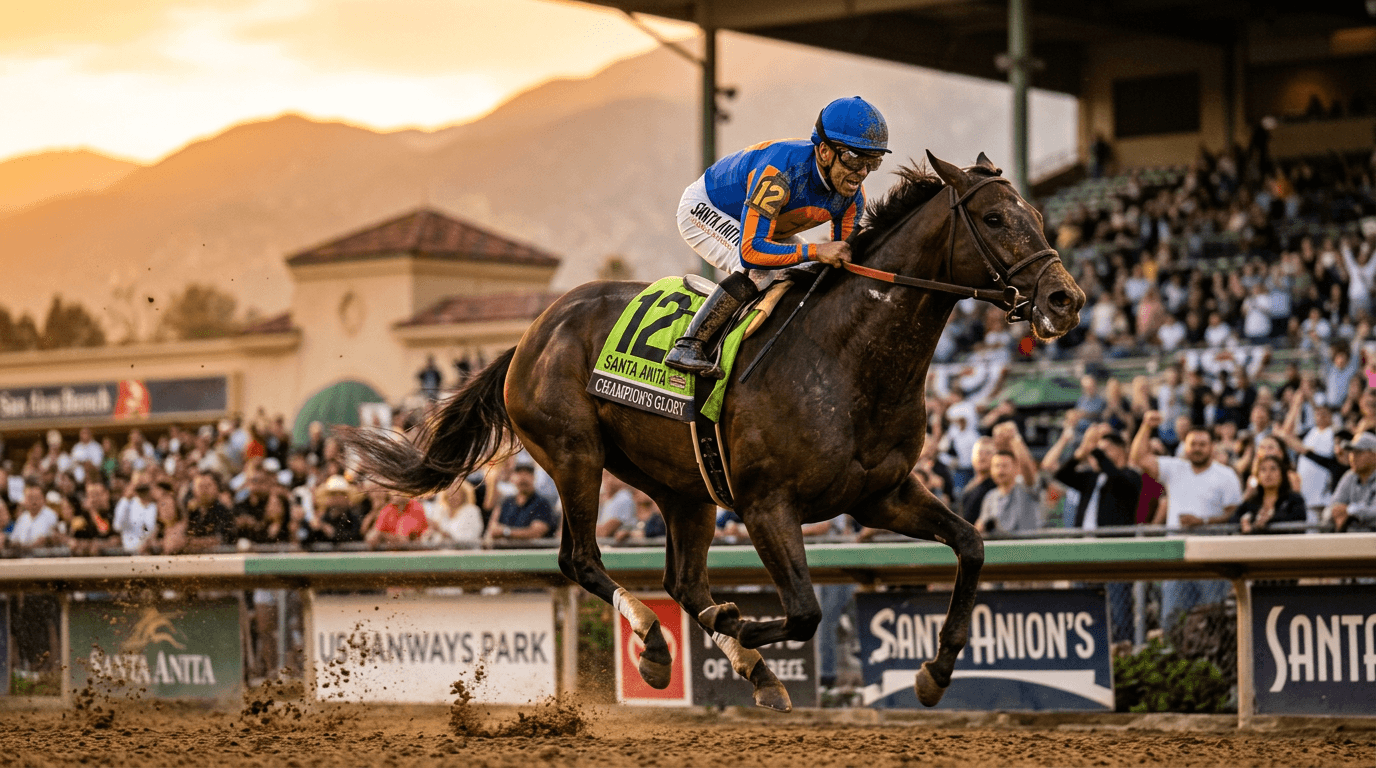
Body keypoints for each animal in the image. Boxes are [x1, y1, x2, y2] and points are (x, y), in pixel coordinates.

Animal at [344, 151, 1086, 712]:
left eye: (1038, 215)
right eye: (995, 217)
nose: (1066, 298)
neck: (848, 358)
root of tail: (531, 333)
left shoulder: (881, 494)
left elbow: (972, 546)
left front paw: (935, 672)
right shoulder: (766, 504)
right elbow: (806, 610)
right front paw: (742, 624)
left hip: (683, 487)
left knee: (684, 582)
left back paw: (747, 668)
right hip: (576, 454)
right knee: (582, 560)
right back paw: (656, 645)